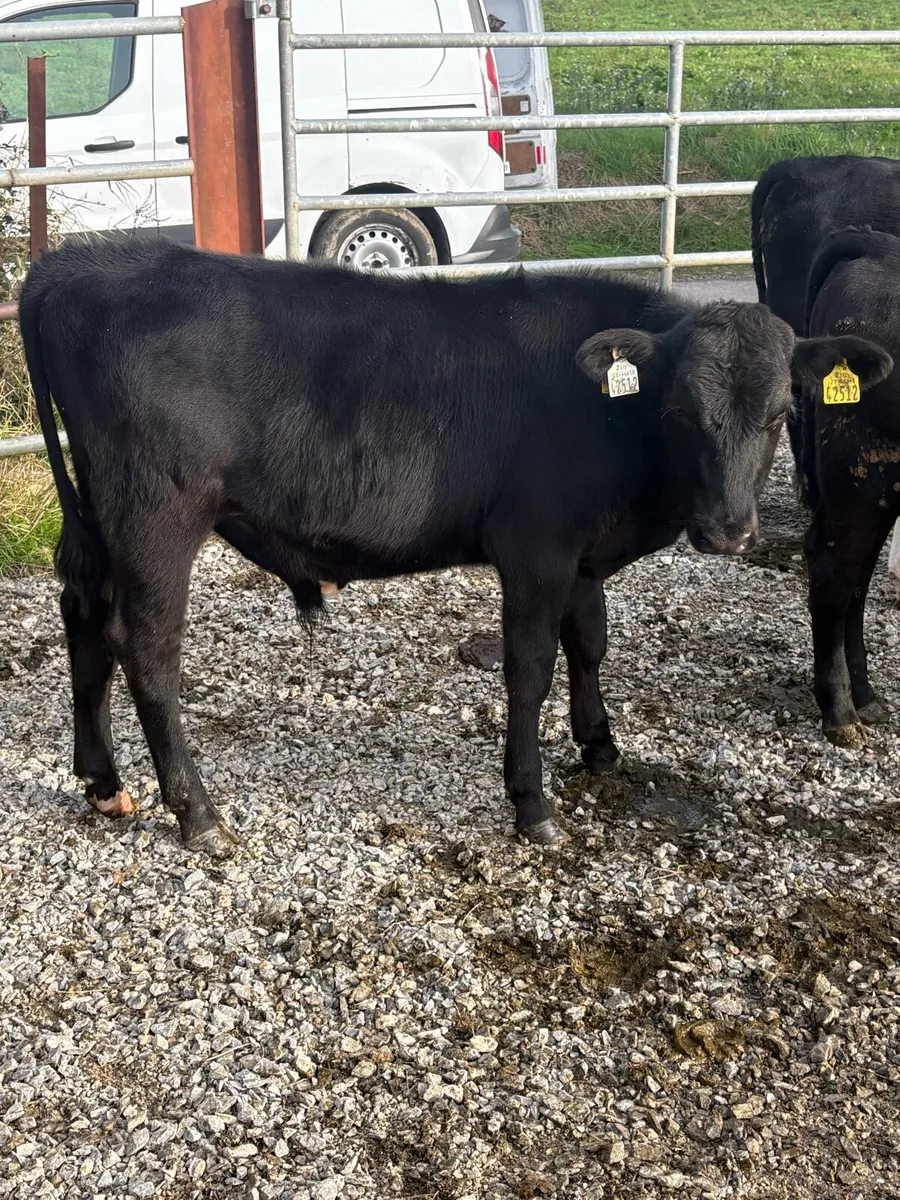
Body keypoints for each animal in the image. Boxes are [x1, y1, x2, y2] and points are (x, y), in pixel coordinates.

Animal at [19, 239, 881, 855]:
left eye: (780, 412)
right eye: (679, 411)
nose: (728, 529)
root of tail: (79, 263)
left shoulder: (582, 553)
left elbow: (590, 643)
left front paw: (601, 745)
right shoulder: (536, 548)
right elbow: (531, 666)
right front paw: (532, 802)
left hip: (98, 517)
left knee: (84, 620)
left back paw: (103, 782)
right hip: (156, 516)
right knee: (146, 649)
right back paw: (196, 813)